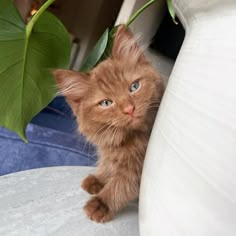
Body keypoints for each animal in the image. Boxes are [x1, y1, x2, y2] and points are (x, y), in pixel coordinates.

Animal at [53, 25, 163, 223]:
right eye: (106, 103)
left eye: (134, 87)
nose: (129, 109)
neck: (123, 139)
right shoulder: (110, 152)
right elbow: (108, 166)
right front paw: (99, 179)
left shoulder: (137, 168)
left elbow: (121, 185)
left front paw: (101, 203)